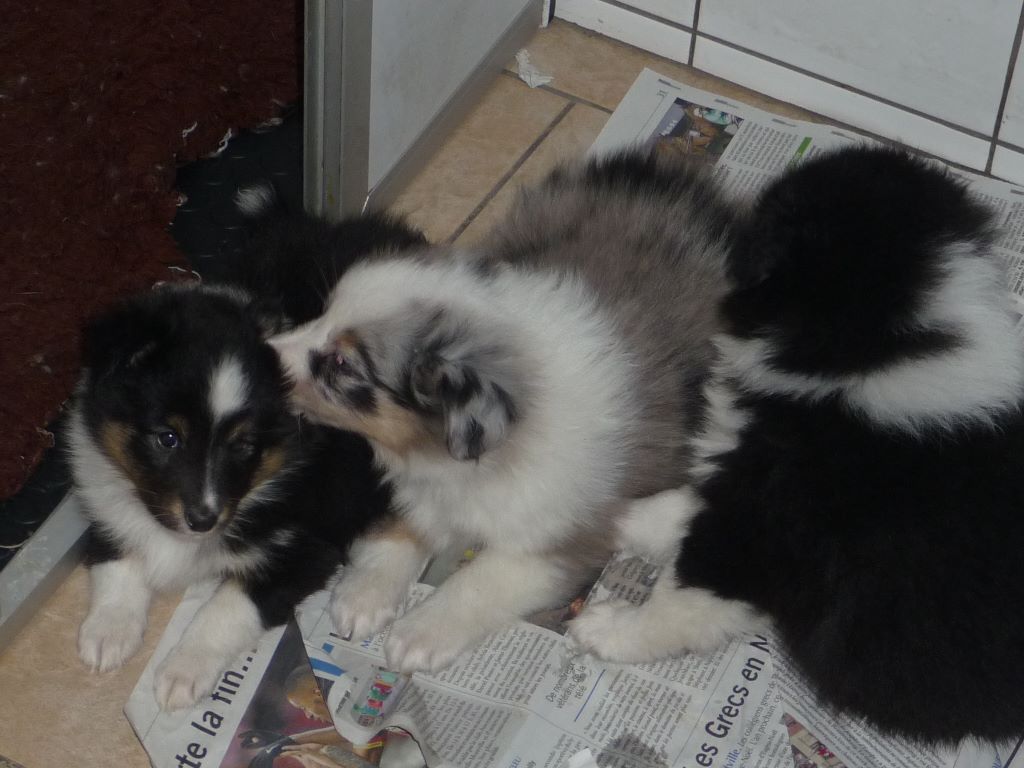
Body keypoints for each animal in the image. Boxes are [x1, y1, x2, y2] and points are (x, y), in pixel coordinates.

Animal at [71, 189, 423, 712]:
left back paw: (365, 597)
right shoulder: (105, 494)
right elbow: (114, 555)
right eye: (168, 438)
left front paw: (181, 672)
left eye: (244, 446)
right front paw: (107, 631)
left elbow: (228, 606)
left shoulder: (302, 547)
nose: (203, 520)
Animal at [272, 148, 737, 671]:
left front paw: (418, 633)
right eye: (321, 315)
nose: (263, 354)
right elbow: (402, 526)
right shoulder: (422, 489)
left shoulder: (553, 542)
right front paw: (364, 594)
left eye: (341, 365)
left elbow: (479, 580)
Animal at [573, 145, 1024, 745]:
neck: (874, 357)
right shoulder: (739, 476)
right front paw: (616, 517)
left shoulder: (758, 532)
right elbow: (673, 508)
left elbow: (683, 598)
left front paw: (608, 628)